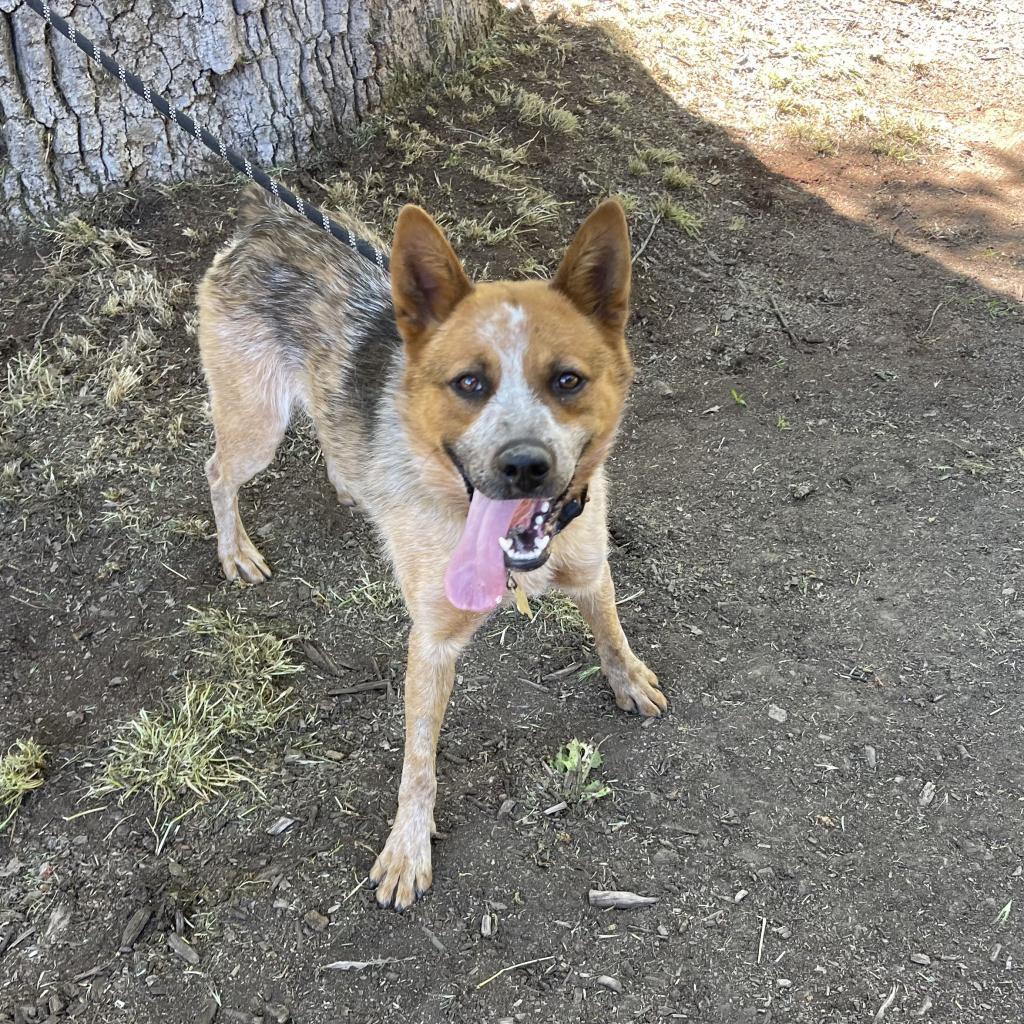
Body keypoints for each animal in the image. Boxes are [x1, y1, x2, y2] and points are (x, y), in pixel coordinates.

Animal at [195, 188, 667, 909]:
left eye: (567, 381)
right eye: (470, 383)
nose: (523, 466)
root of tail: (263, 220)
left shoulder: (591, 570)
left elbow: (612, 633)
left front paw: (630, 679)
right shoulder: (433, 643)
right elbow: (419, 762)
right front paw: (408, 847)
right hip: (257, 423)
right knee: (218, 472)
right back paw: (236, 550)